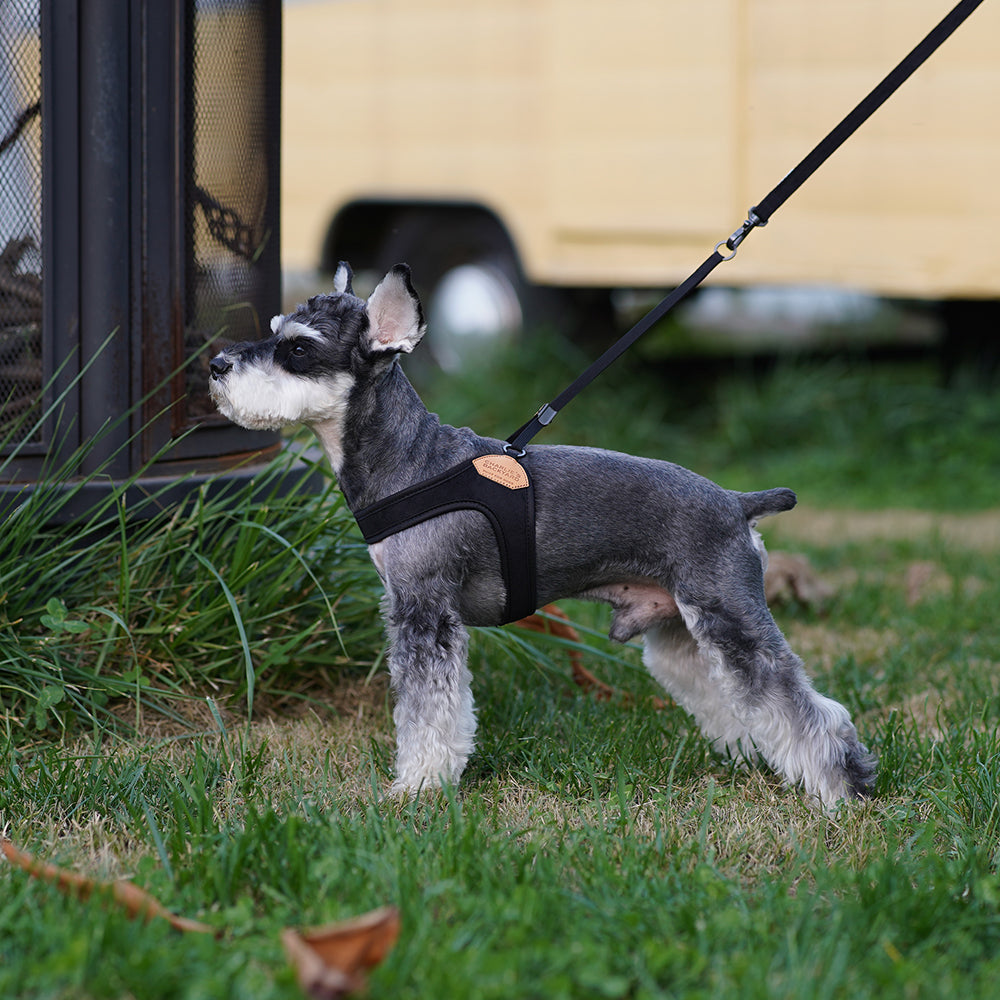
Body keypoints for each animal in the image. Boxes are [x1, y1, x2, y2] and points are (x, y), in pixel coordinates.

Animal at [209, 264, 876, 804]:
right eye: (274, 329)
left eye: (299, 348)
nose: (216, 366)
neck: (410, 458)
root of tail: (738, 505)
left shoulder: (424, 613)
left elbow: (428, 713)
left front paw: (418, 786)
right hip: (683, 635)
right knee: (736, 704)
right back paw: (752, 761)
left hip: (731, 620)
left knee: (807, 710)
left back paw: (844, 786)